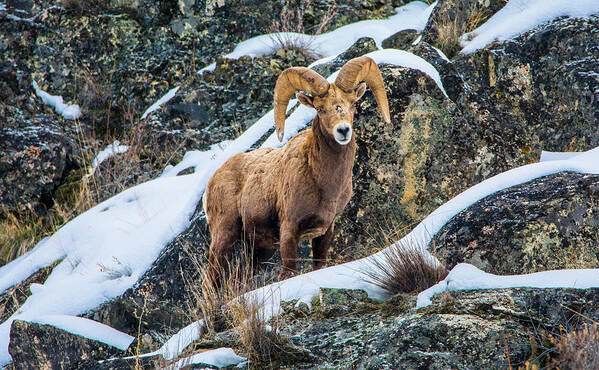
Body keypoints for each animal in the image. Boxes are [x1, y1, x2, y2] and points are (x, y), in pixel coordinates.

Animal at [204, 55, 392, 280]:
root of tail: (212, 181)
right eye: (320, 108)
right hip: (225, 236)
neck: (323, 183)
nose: (343, 130)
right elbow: (289, 273)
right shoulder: (289, 230)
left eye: (353, 104)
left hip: (259, 250)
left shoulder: (325, 231)